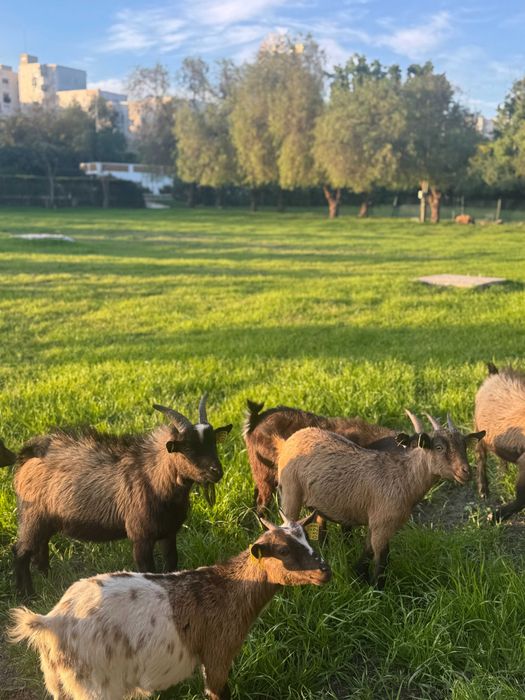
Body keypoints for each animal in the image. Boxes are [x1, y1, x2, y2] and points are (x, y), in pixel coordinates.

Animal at [9, 513, 330, 700]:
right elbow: (218, 691)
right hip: (95, 685)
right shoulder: (218, 650)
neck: (228, 588)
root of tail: (51, 621)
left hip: (59, 682)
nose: (325, 571)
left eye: (307, 538)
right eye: (284, 550)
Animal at [13, 395, 232, 595]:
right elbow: (148, 571)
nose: (216, 472)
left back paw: (46, 577)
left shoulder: (169, 532)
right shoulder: (140, 536)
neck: (152, 477)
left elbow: (171, 563)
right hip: (32, 515)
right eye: (186, 448)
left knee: (41, 547)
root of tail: (27, 456)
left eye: (214, 443)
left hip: (46, 519)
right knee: (20, 551)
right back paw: (27, 594)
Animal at [276, 412, 484, 587]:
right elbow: (382, 556)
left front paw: (358, 574)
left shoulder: (378, 522)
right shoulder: (382, 523)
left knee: (320, 520)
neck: (403, 477)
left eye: (464, 446)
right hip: (290, 490)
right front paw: (377, 588)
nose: (466, 472)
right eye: (439, 447)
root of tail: (293, 438)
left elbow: (369, 549)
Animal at [474, 362, 525, 520]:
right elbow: (521, 498)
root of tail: (495, 373)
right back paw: (483, 491)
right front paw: (495, 516)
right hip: (479, 432)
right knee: (481, 458)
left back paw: (503, 474)